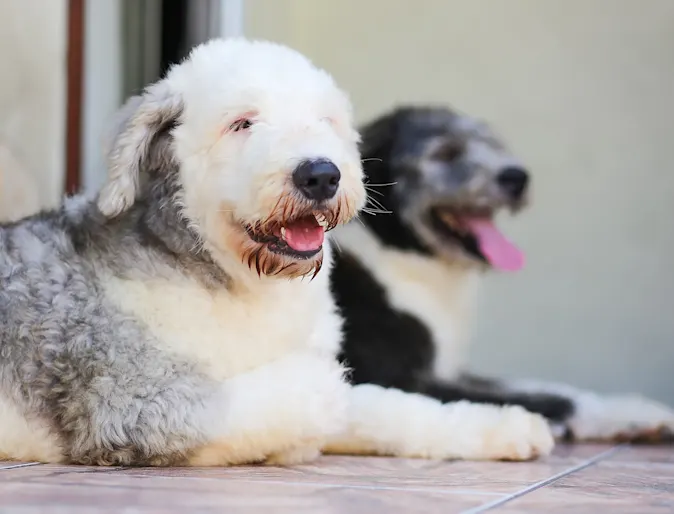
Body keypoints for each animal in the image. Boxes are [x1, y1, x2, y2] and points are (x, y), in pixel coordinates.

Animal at [1, 39, 552, 464]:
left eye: (325, 120)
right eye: (242, 123)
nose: (321, 174)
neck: (246, 287)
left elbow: (389, 407)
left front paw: (509, 427)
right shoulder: (134, 400)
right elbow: (313, 392)